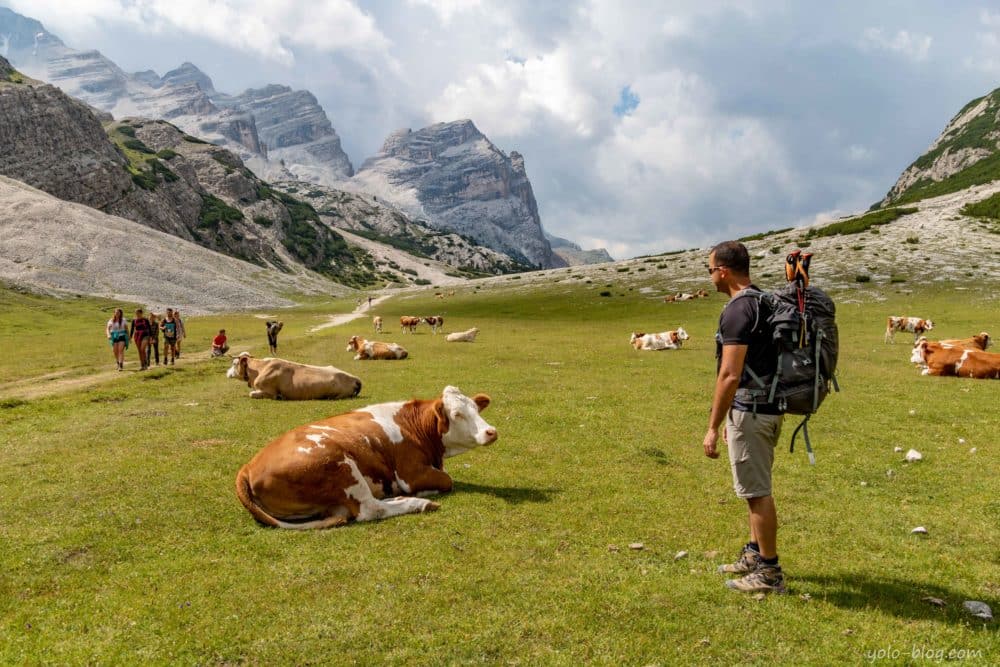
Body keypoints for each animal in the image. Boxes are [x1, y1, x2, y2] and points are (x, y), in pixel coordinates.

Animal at [229, 354, 362, 402]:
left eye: (234, 363)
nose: (227, 372)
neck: (260, 368)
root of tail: (354, 378)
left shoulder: (269, 392)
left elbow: (252, 394)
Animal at [235, 384, 500, 528]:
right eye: (457, 414)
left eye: (476, 409)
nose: (491, 432)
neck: (412, 425)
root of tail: (248, 466)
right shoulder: (410, 473)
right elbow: (447, 480)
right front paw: (425, 493)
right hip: (342, 467)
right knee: (370, 509)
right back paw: (417, 503)